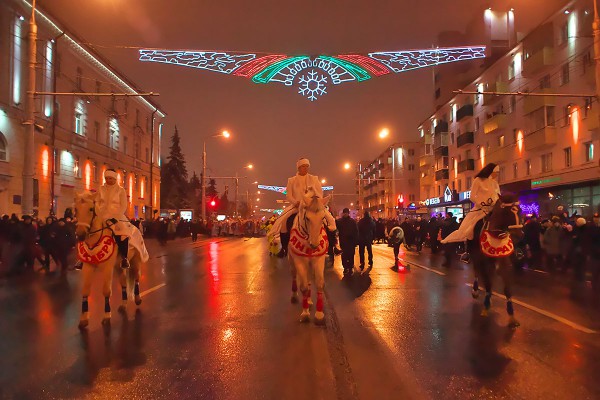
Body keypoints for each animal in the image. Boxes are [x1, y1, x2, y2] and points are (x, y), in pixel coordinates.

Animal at [288, 191, 332, 324]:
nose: (315, 245)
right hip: (292, 262)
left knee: (308, 280)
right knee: (294, 276)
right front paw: (305, 313)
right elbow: (303, 287)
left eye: (323, 218)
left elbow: (319, 284)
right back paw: (295, 296)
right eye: (307, 218)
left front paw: (319, 314)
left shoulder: (318, 260)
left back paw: (309, 300)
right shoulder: (299, 261)